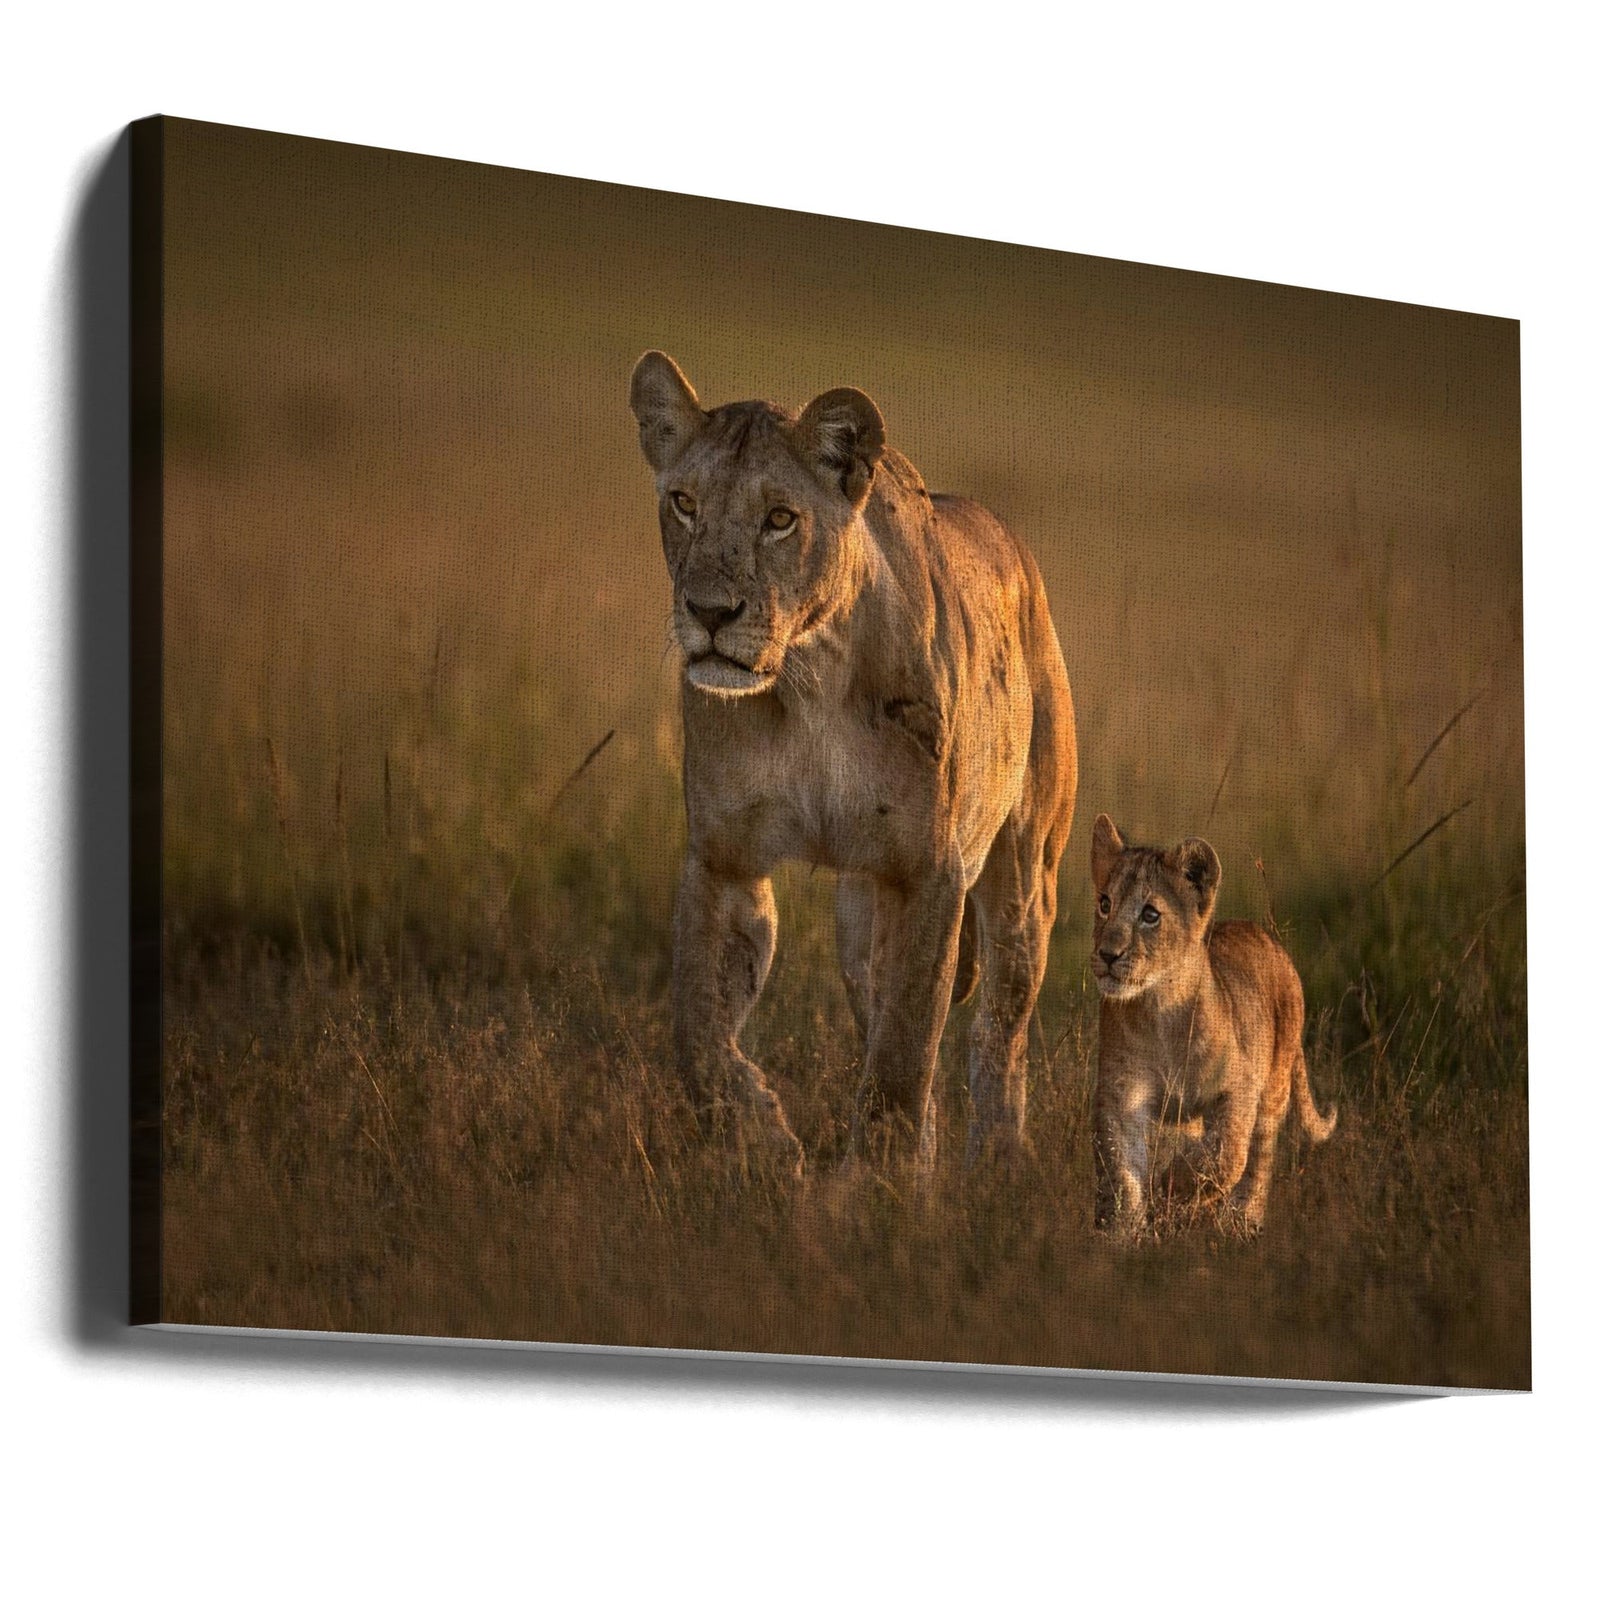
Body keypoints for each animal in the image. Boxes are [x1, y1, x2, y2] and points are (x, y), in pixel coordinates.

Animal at [629, 351, 1078, 1175]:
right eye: (683, 503)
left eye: (780, 518)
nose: (709, 613)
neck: (809, 679)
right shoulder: (724, 858)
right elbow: (699, 1037)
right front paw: (765, 1143)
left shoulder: (926, 872)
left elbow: (904, 1057)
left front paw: (879, 1189)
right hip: (859, 917)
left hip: (1025, 874)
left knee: (999, 1031)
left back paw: (998, 1164)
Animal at [1089, 814, 1337, 1235]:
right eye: (1105, 904)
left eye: (1150, 915)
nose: (1108, 954)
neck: (1161, 1009)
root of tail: (1266, 937)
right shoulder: (1122, 1097)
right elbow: (1123, 1174)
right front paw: (1122, 1234)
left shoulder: (1239, 1087)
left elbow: (1228, 1154)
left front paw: (1174, 1185)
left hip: (1274, 1085)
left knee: (1258, 1161)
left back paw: (1241, 1222)